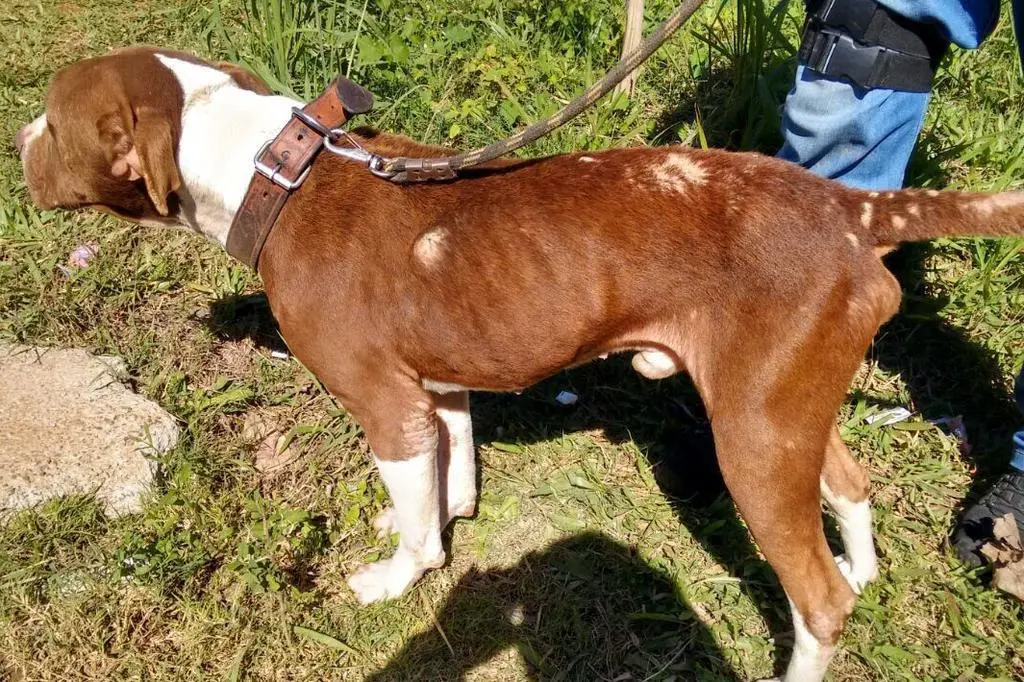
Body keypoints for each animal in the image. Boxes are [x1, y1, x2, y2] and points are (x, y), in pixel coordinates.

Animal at [14, 46, 1024, 675]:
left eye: (53, 126)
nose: (15, 141)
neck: (280, 172)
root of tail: (850, 208)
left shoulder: (385, 407)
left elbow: (416, 526)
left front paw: (399, 576)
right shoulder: (435, 388)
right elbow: (448, 472)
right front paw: (445, 513)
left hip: (754, 439)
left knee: (818, 603)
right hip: (784, 409)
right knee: (849, 487)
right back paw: (864, 565)